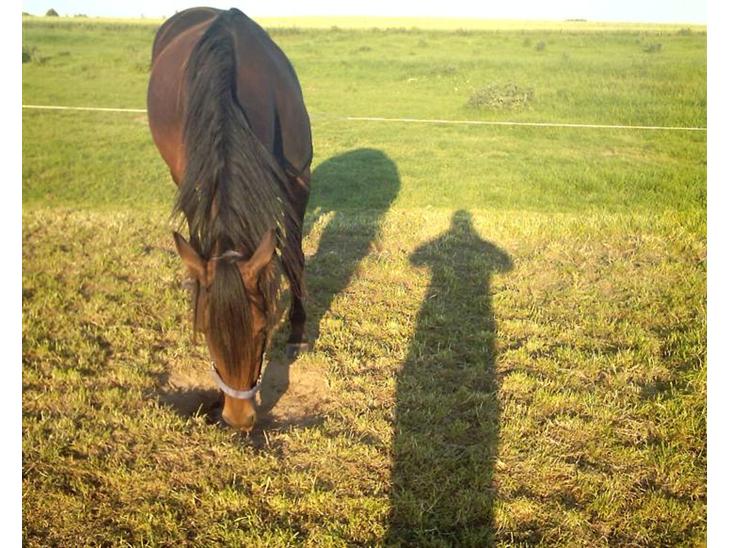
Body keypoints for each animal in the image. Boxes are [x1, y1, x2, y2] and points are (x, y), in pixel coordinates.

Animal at [147, 7, 313, 431]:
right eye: (205, 329)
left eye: (262, 328)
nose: (238, 418)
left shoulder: (299, 179)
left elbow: (293, 256)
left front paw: (299, 331)